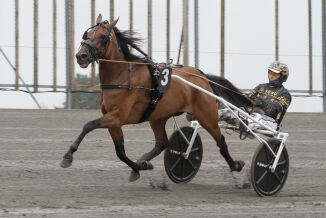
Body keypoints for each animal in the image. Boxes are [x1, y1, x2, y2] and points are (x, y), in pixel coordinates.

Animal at [61, 15, 255, 181]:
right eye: (86, 34)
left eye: (102, 36)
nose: (81, 56)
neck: (122, 76)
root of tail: (202, 76)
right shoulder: (113, 120)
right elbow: (120, 152)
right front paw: (140, 166)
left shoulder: (117, 116)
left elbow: (89, 125)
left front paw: (68, 155)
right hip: (157, 117)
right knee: (162, 143)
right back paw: (144, 160)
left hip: (207, 116)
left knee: (220, 140)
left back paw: (236, 165)